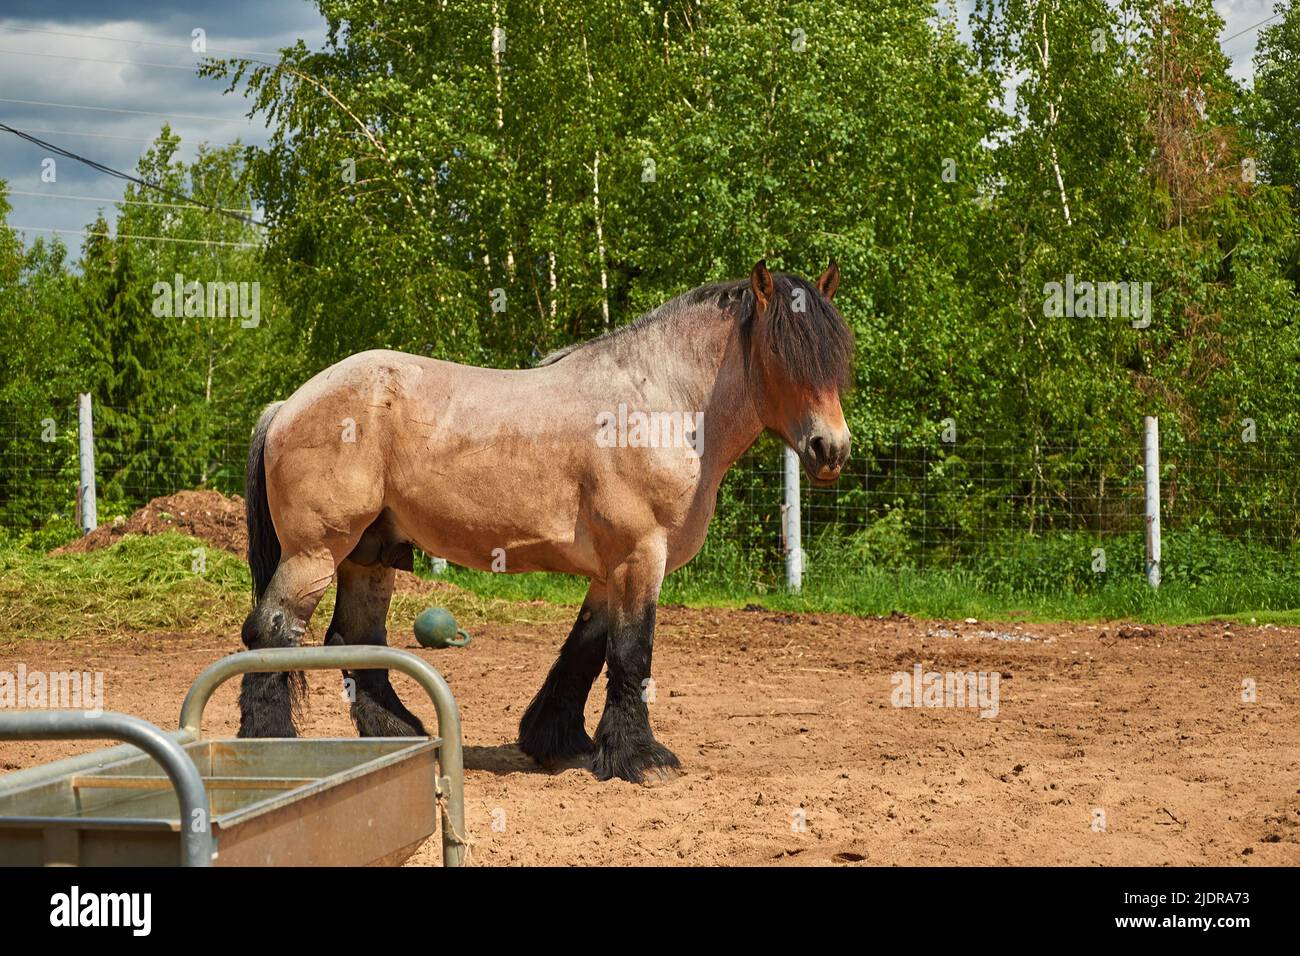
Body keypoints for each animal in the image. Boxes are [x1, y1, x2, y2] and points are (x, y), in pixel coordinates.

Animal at [238, 260, 853, 783]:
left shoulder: (609, 571)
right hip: (315, 553)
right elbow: (631, 652)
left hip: (369, 554)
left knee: (356, 639)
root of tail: (288, 405)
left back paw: (397, 734)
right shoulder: (640, 556)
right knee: (272, 632)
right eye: (784, 355)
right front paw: (641, 758)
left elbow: (585, 651)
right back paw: (271, 747)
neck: (663, 404)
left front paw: (561, 742)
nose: (832, 450)